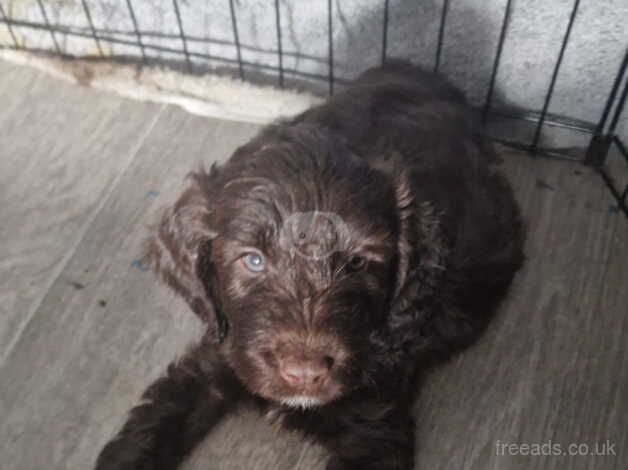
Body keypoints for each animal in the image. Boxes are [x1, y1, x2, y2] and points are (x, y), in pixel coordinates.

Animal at [94, 60, 524, 468]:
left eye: (357, 263)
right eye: (253, 260)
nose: (304, 373)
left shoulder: (375, 421)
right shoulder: (214, 357)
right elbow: (150, 426)